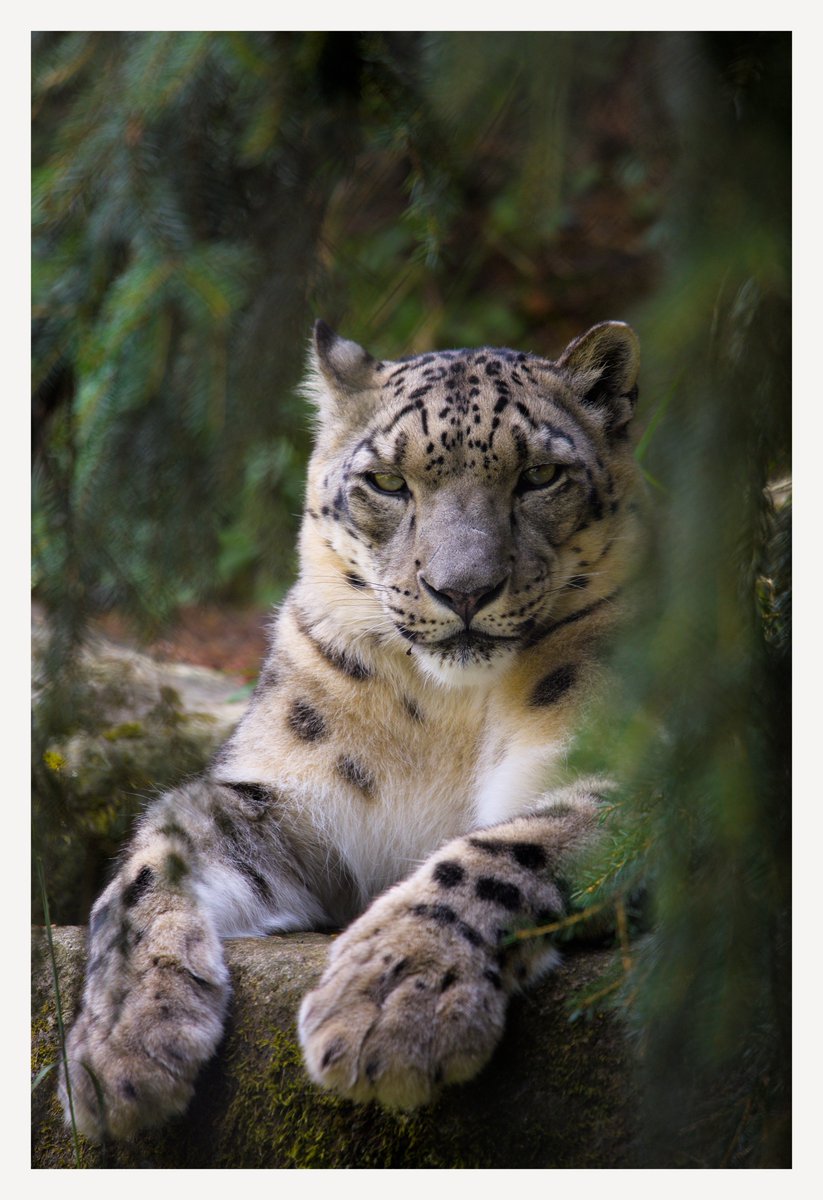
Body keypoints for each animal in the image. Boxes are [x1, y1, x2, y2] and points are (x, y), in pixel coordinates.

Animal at [58, 316, 643, 1140]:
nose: (463, 589)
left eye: (538, 476)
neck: (446, 717)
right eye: (389, 483)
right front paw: (119, 1043)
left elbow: (505, 848)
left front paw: (392, 1000)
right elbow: (155, 858)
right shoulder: (290, 795)